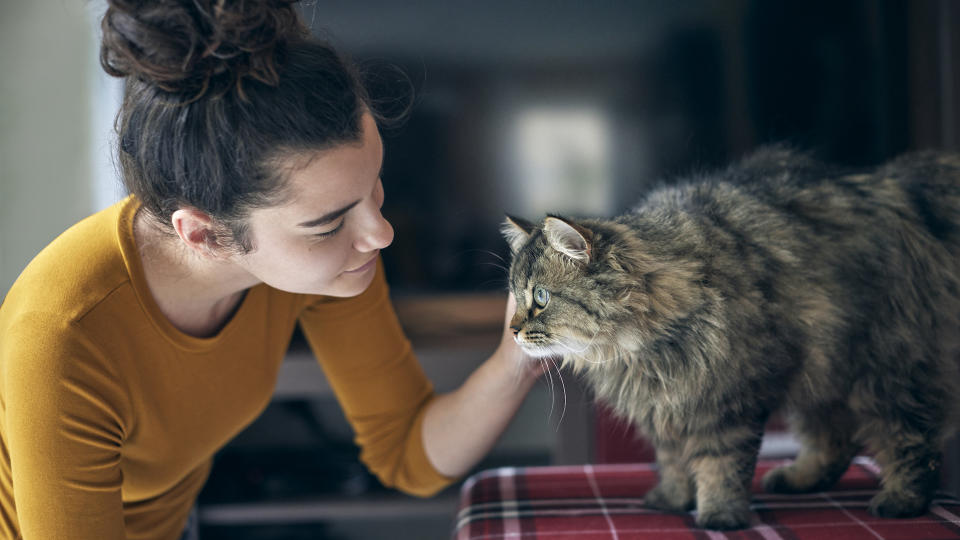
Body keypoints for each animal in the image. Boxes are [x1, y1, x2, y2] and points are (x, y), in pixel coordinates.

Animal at [502, 146, 960, 528]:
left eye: (541, 298)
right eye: (515, 296)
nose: (513, 331)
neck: (640, 350)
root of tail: (895, 187)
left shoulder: (725, 398)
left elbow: (720, 464)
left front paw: (719, 515)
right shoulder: (664, 407)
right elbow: (673, 461)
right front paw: (672, 500)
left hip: (884, 369)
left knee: (912, 439)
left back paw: (900, 502)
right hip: (821, 372)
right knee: (834, 440)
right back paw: (799, 478)